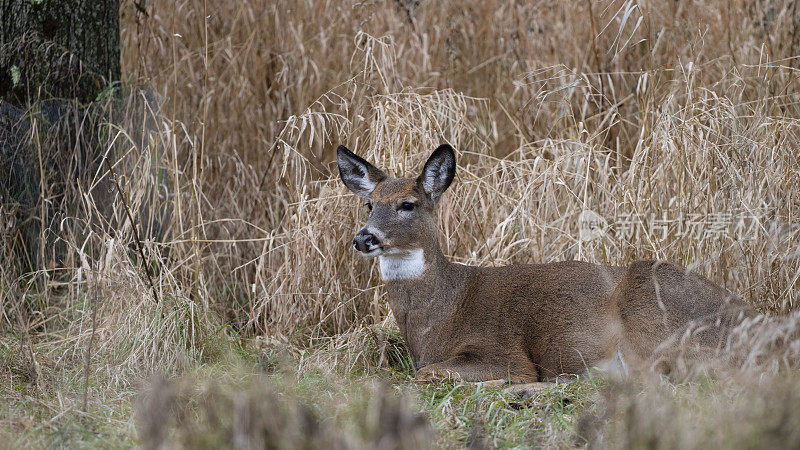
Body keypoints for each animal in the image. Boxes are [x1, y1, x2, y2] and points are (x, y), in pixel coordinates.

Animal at [336, 144, 756, 390]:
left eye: (407, 204)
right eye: (369, 204)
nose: (364, 238)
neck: (440, 314)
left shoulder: (501, 351)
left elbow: (429, 373)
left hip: (653, 321)